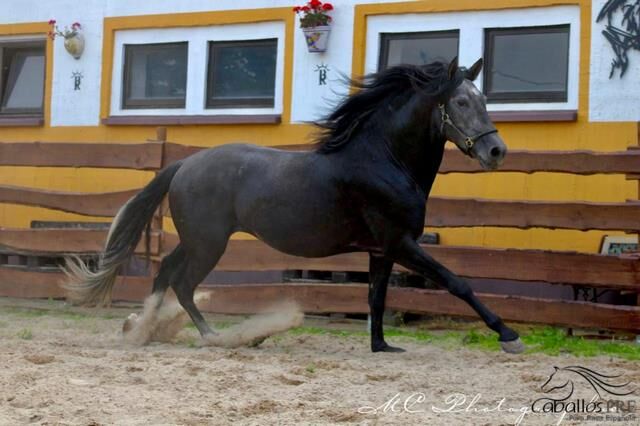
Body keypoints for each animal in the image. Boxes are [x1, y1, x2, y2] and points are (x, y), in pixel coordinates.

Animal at [65, 58, 524, 354]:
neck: (382, 160)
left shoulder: (383, 251)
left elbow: (376, 298)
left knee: (165, 272)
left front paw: (382, 346)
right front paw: (508, 336)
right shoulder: (401, 243)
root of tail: (184, 165)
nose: (497, 151)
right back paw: (212, 337)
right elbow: (456, 282)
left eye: (483, 100)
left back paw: (142, 329)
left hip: (197, 240)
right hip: (209, 244)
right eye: (461, 102)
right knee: (182, 282)